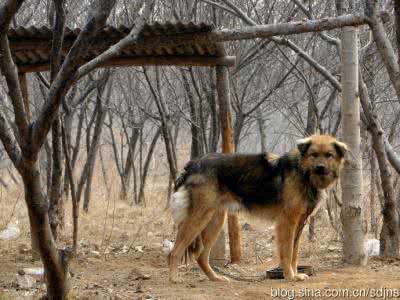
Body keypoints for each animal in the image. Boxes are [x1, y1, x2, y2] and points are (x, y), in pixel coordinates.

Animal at [168, 135, 346, 282]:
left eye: (329, 155)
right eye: (313, 155)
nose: (320, 168)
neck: (303, 172)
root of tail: (192, 164)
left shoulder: (300, 223)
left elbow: (295, 253)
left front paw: (295, 274)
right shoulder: (287, 222)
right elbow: (287, 252)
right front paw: (289, 276)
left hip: (214, 221)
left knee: (201, 256)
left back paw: (215, 278)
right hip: (199, 218)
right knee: (175, 251)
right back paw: (174, 279)